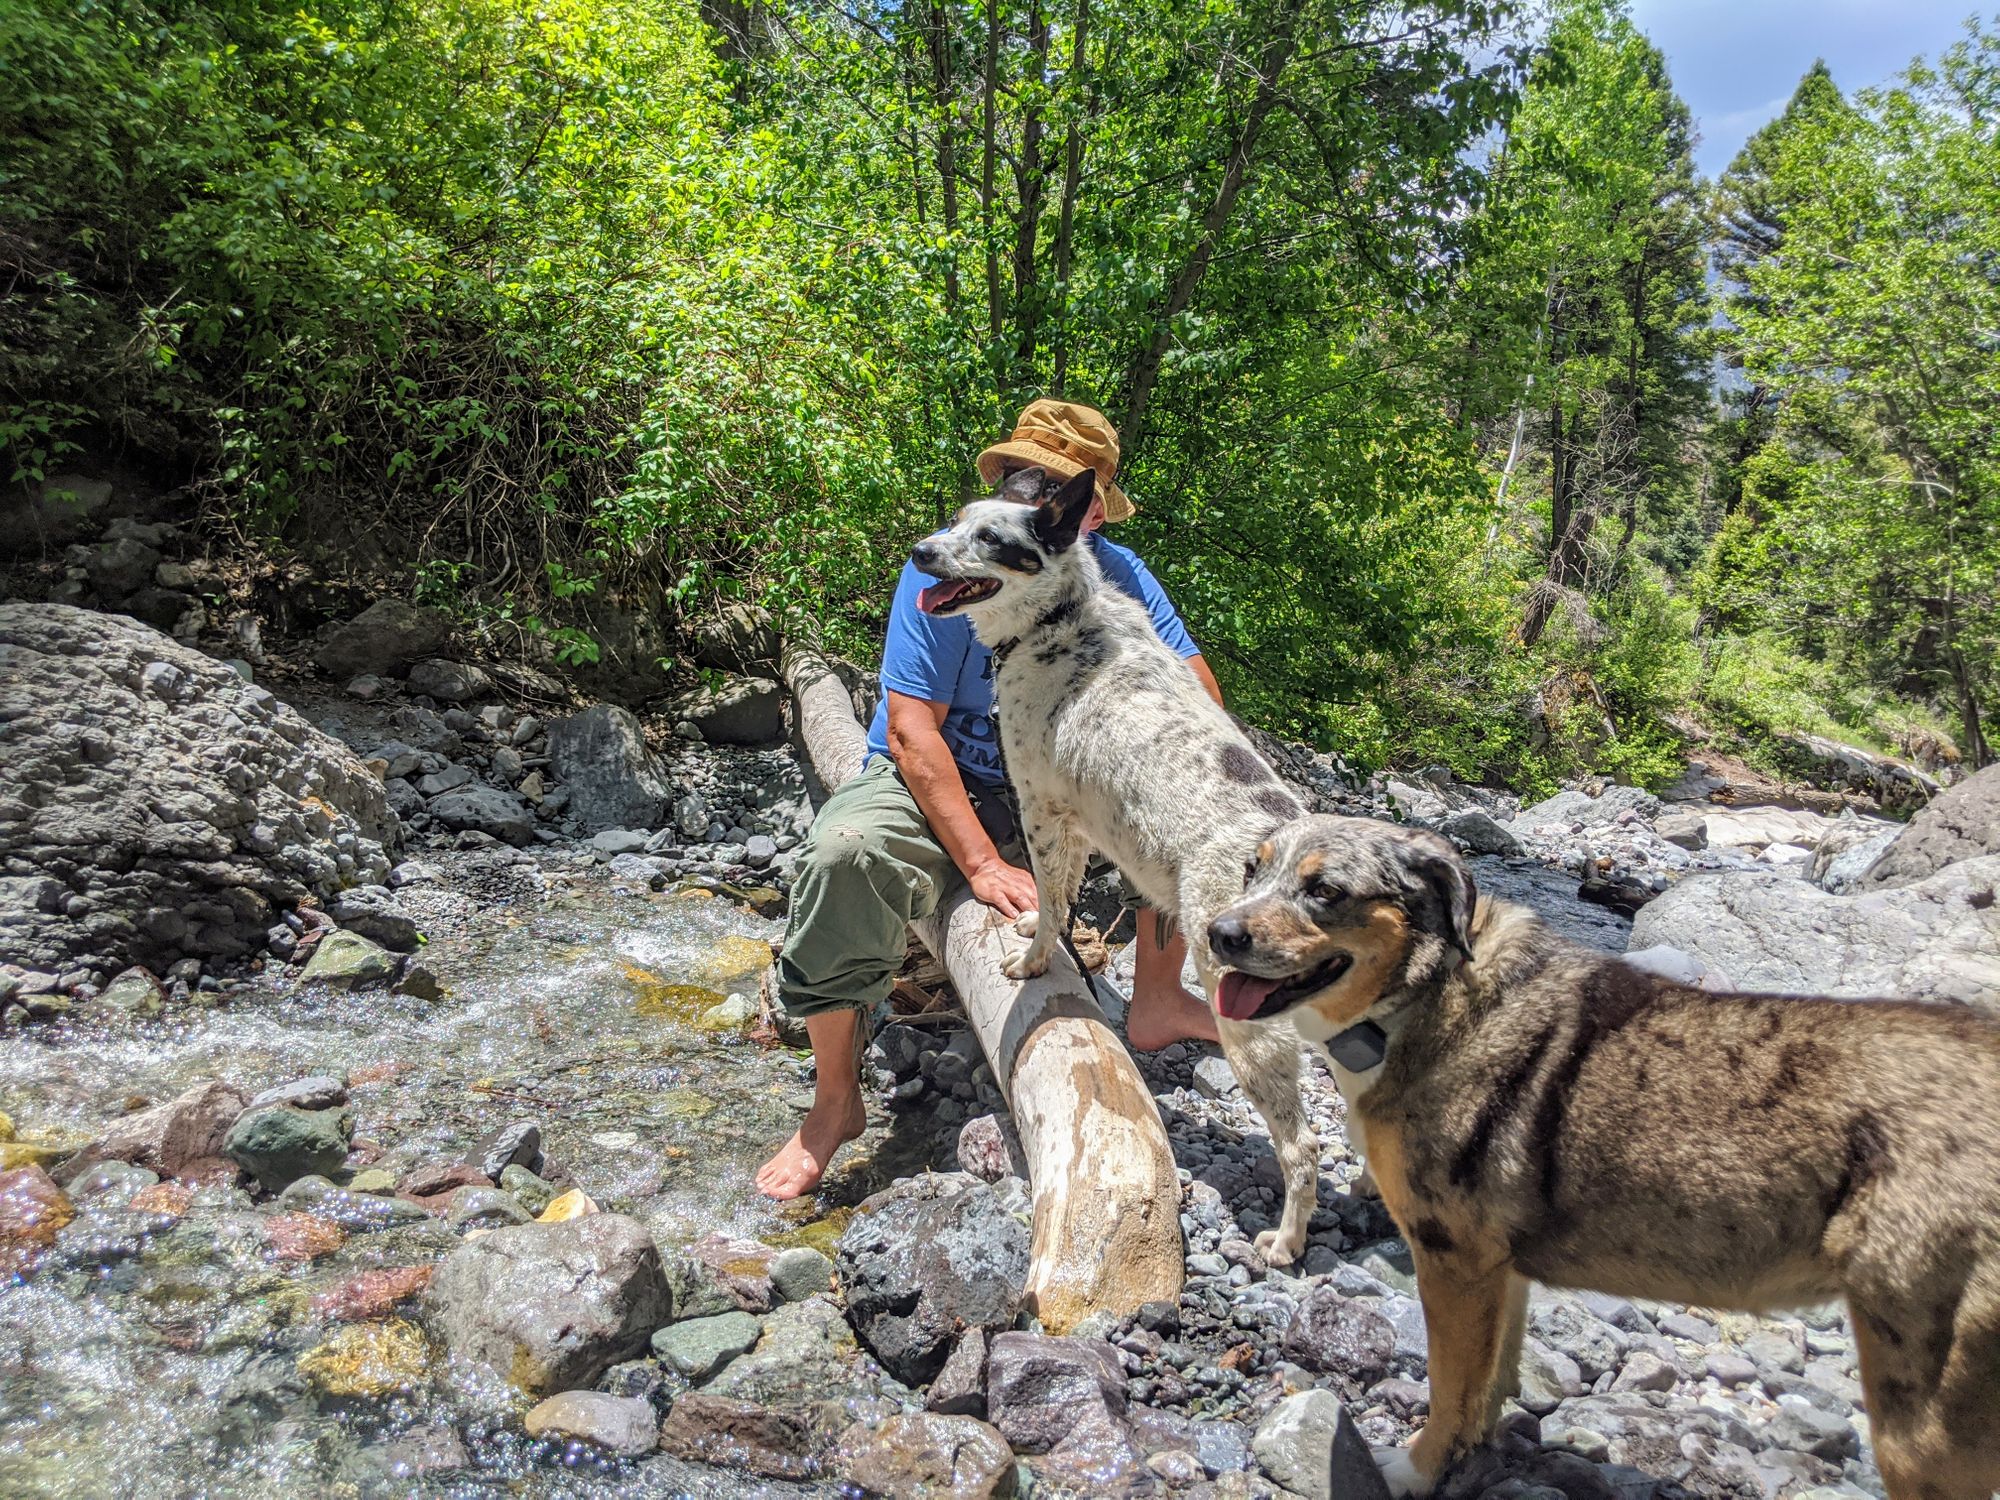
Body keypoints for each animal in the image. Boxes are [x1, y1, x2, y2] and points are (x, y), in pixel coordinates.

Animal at [912, 468, 1328, 1272]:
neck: (1057, 618)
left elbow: (1051, 906)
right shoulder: (1077, 825)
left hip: (1249, 1023)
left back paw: (1286, 1242)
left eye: (990, 538)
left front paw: (1035, 958)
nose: (919, 551)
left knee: (1302, 1147)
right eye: (955, 519)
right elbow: (1063, 899)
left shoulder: (1042, 810)